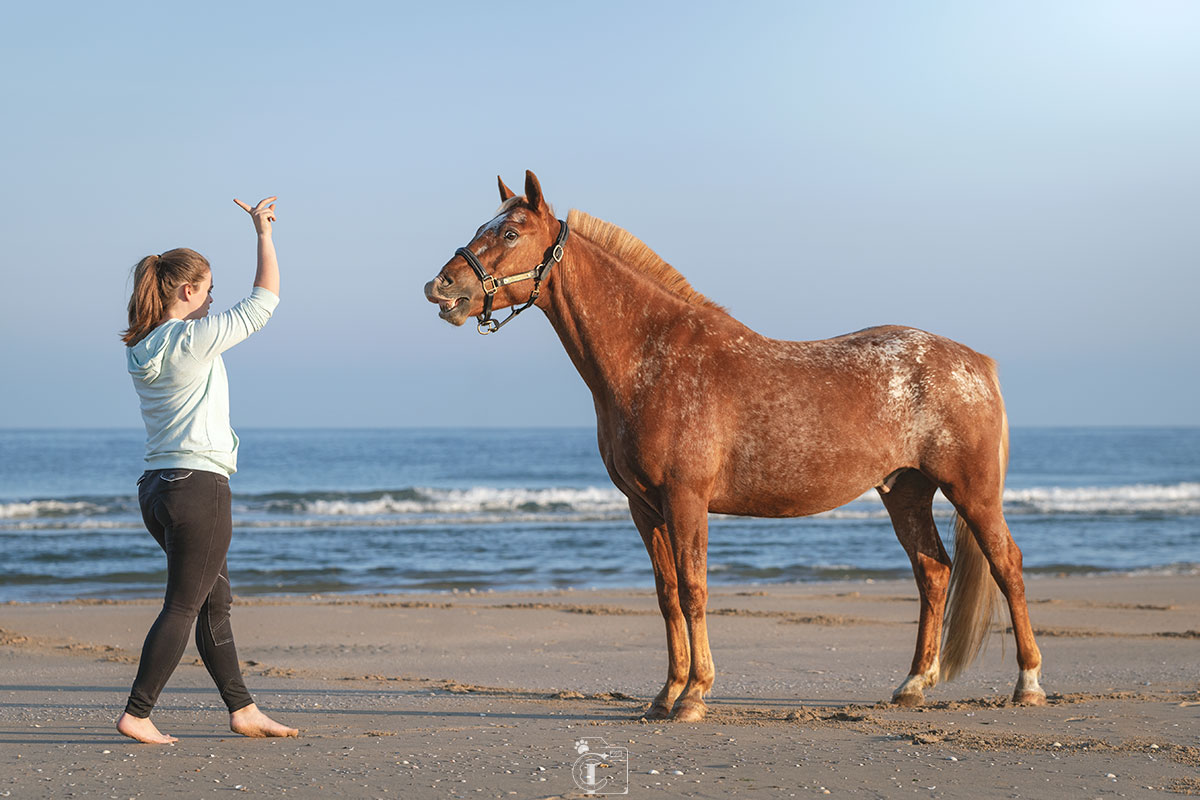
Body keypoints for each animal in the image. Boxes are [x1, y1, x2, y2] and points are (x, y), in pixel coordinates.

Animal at [427, 172, 1046, 724]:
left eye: (511, 233)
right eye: (483, 227)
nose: (442, 287)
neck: (652, 358)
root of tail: (975, 362)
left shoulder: (686, 500)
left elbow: (695, 591)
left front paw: (695, 696)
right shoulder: (644, 507)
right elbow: (667, 595)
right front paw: (664, 695)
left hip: (972, 491)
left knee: (1007, 565)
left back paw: (1028, 683)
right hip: (905, 492)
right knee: (933, 572)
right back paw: (913, 685)